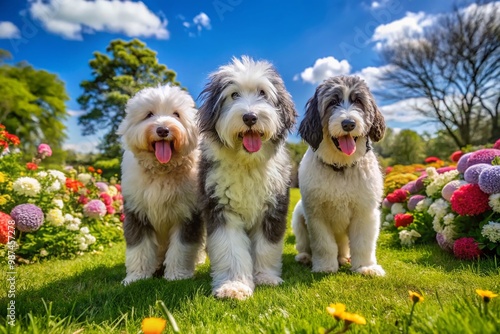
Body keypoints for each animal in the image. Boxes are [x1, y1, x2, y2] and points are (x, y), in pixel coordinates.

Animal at [118, 84, 204, 284]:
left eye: (176, 114)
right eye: (149, 114)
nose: (163, 130)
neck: (161, 171)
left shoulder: (187, 213)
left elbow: (181, 248)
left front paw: (177, 275)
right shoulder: (137, 211)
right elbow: (139, 247)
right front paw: (136, 277)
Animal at [196, 56, 296, 298]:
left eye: (262, 93)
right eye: (233, 95)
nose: (250, 117)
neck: (248, 163)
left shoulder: (273, 207)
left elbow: (267, 247)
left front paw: (266, 278)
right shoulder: (221, 208)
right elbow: (231, 249)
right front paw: (234, 287)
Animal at [292, 75, 386, 276]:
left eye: (358, 101)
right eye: (332, 102)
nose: (348, 124)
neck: (341, 166)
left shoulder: (365, 212)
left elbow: (363, 243)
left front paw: (365, 267)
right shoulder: (316, 215)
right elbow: (324, 244)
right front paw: (325, 267)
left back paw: (343, 259)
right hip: (298, 218)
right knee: (304, 244)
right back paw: (305, 257)